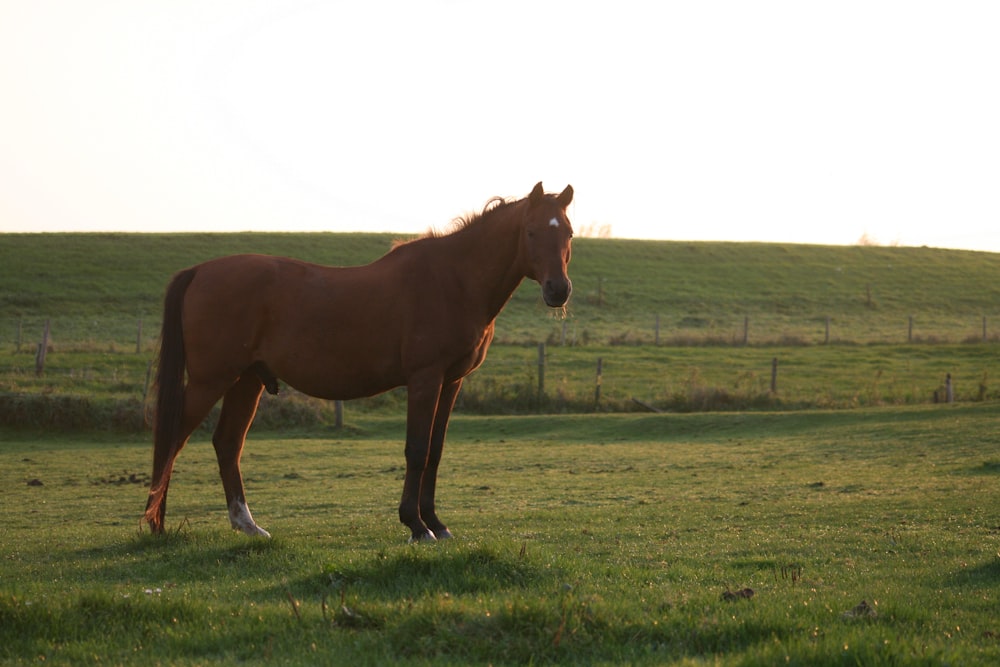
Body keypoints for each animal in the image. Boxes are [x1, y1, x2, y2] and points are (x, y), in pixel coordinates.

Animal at [145, 181, 576, 544]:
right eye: (532, 232)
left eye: (569, 233)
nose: (558, 290)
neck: (454, 279)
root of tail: (199, 271)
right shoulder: (425, 379)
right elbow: (417, 450)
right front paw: (416, 525)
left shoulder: (451, 382)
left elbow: (435, 452)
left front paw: (436, 523)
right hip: (211, 380)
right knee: (173, 437)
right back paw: (155, 523)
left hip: (246, 381)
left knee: (227, 443)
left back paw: (246, 524)